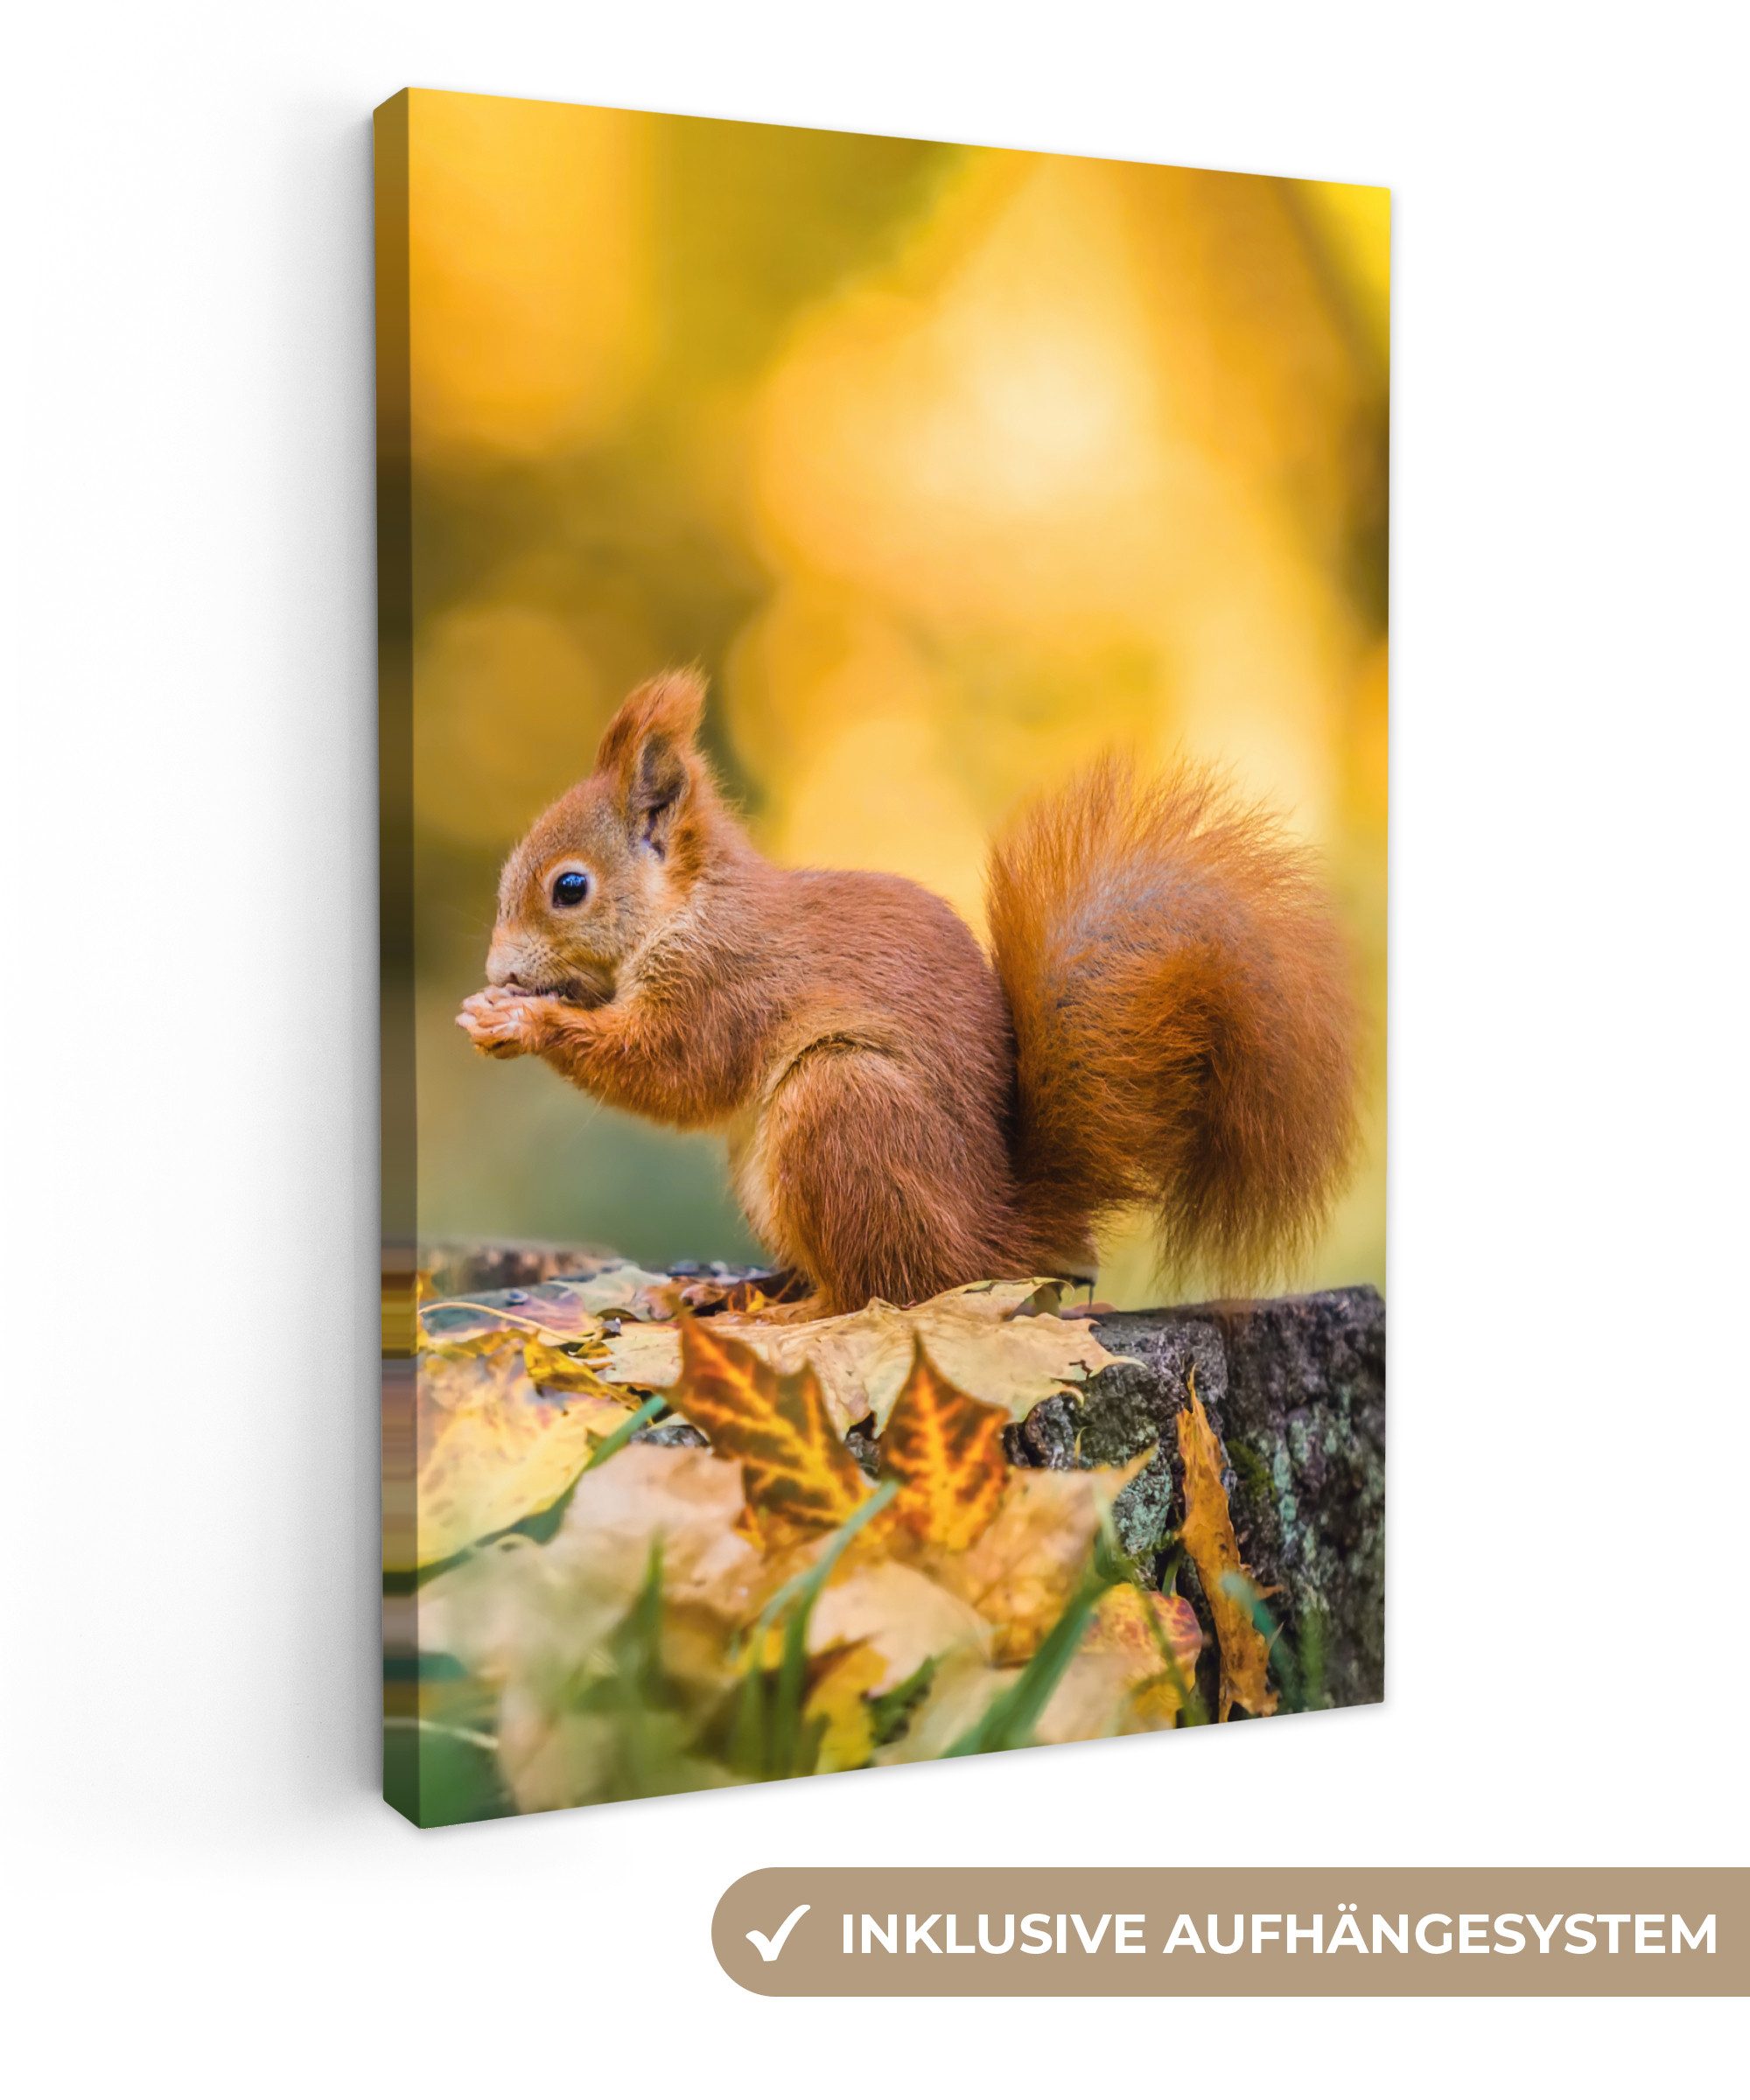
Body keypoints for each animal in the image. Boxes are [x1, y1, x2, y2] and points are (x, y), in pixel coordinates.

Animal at [458, 669, 1360, 1317]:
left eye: (569, 888)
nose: (498, 973)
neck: (689, 907)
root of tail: (991, 1242)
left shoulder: (726, 983)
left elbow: (671, 1071)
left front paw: (527, 1021)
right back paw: (733, 1289)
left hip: (842, 1109)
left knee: (877, 1292)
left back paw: (787, 1313)